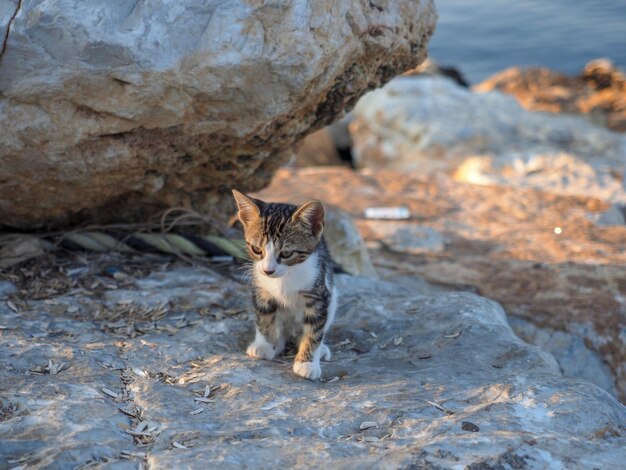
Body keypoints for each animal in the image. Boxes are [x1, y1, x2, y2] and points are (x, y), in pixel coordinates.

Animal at [230, 189, 336, 380]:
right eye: (257, 249)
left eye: (286, 253)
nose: (268, 271)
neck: (285, 277)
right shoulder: (261, 289)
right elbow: (264, 316)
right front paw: (264, 345)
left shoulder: (319, 293)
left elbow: (314, 329)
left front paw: (307, 363)